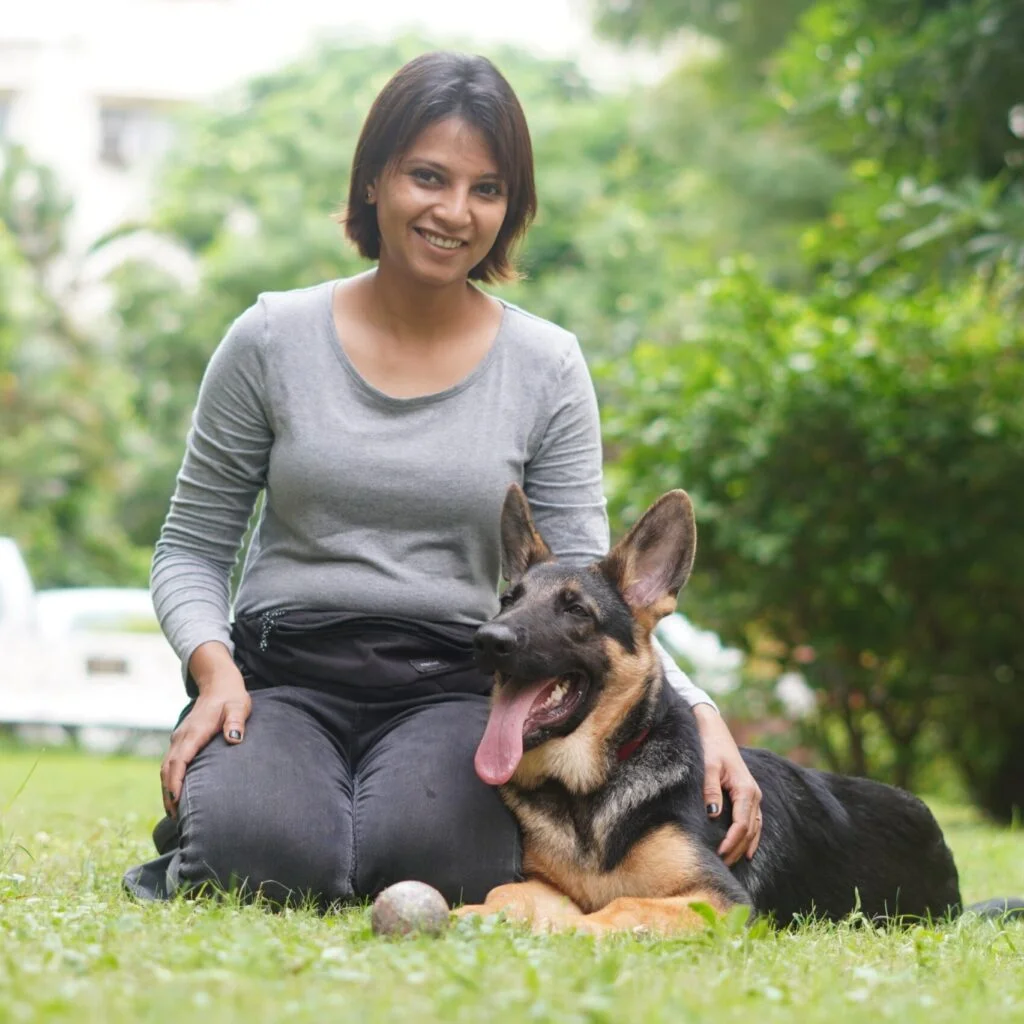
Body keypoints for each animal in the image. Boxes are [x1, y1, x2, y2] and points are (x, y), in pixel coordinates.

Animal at [458, 487, 1024, 937]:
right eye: (508, 600)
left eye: (575, 610)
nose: (487, 639)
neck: (589, 793)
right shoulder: (545, 886)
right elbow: (508, 894)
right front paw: (474, 916)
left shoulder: (720, 901)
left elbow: (623, 906)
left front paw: (572, 929)